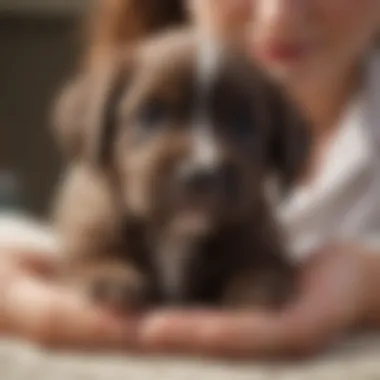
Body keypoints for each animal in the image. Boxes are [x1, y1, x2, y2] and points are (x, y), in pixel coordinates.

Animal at [51, 30, 312, 312]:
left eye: (243, 122)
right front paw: (110, 275)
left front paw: (257, 289)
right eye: (151, 113)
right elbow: (90, 257)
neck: (177, 233)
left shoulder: (258, 234)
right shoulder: (91, 225)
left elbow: (260, 265)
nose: (202, 176)